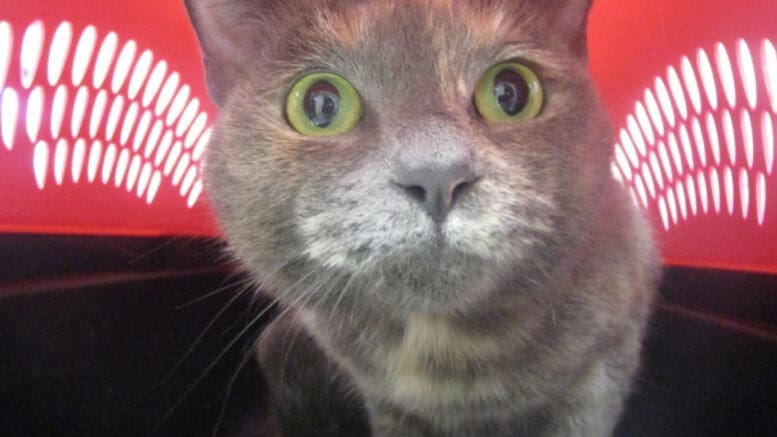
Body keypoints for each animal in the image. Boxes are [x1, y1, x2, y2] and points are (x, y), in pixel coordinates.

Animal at [185, 1, 656, 434]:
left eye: (511, 93)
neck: (443, 352)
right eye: (320, 106)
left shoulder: (601, 367)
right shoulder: (385, 402)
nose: (437, 176)